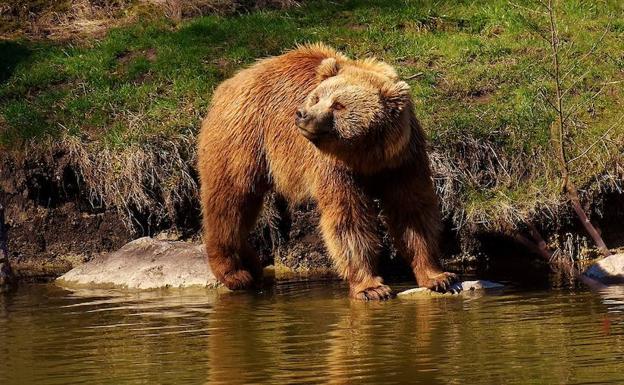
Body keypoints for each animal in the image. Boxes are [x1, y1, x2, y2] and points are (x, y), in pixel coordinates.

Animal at [200, 42, 458, 300]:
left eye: (338, 105)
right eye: (316, 97)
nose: (302, 114)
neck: (366, 154)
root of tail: (228, 83)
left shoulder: (402, 160)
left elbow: (412, 211)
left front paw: (439, 277)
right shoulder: (334, 167)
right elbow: (348, 218)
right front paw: (371, 287)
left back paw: (252, 265)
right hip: (244, 139)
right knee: (230, 201)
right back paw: (234, 272)